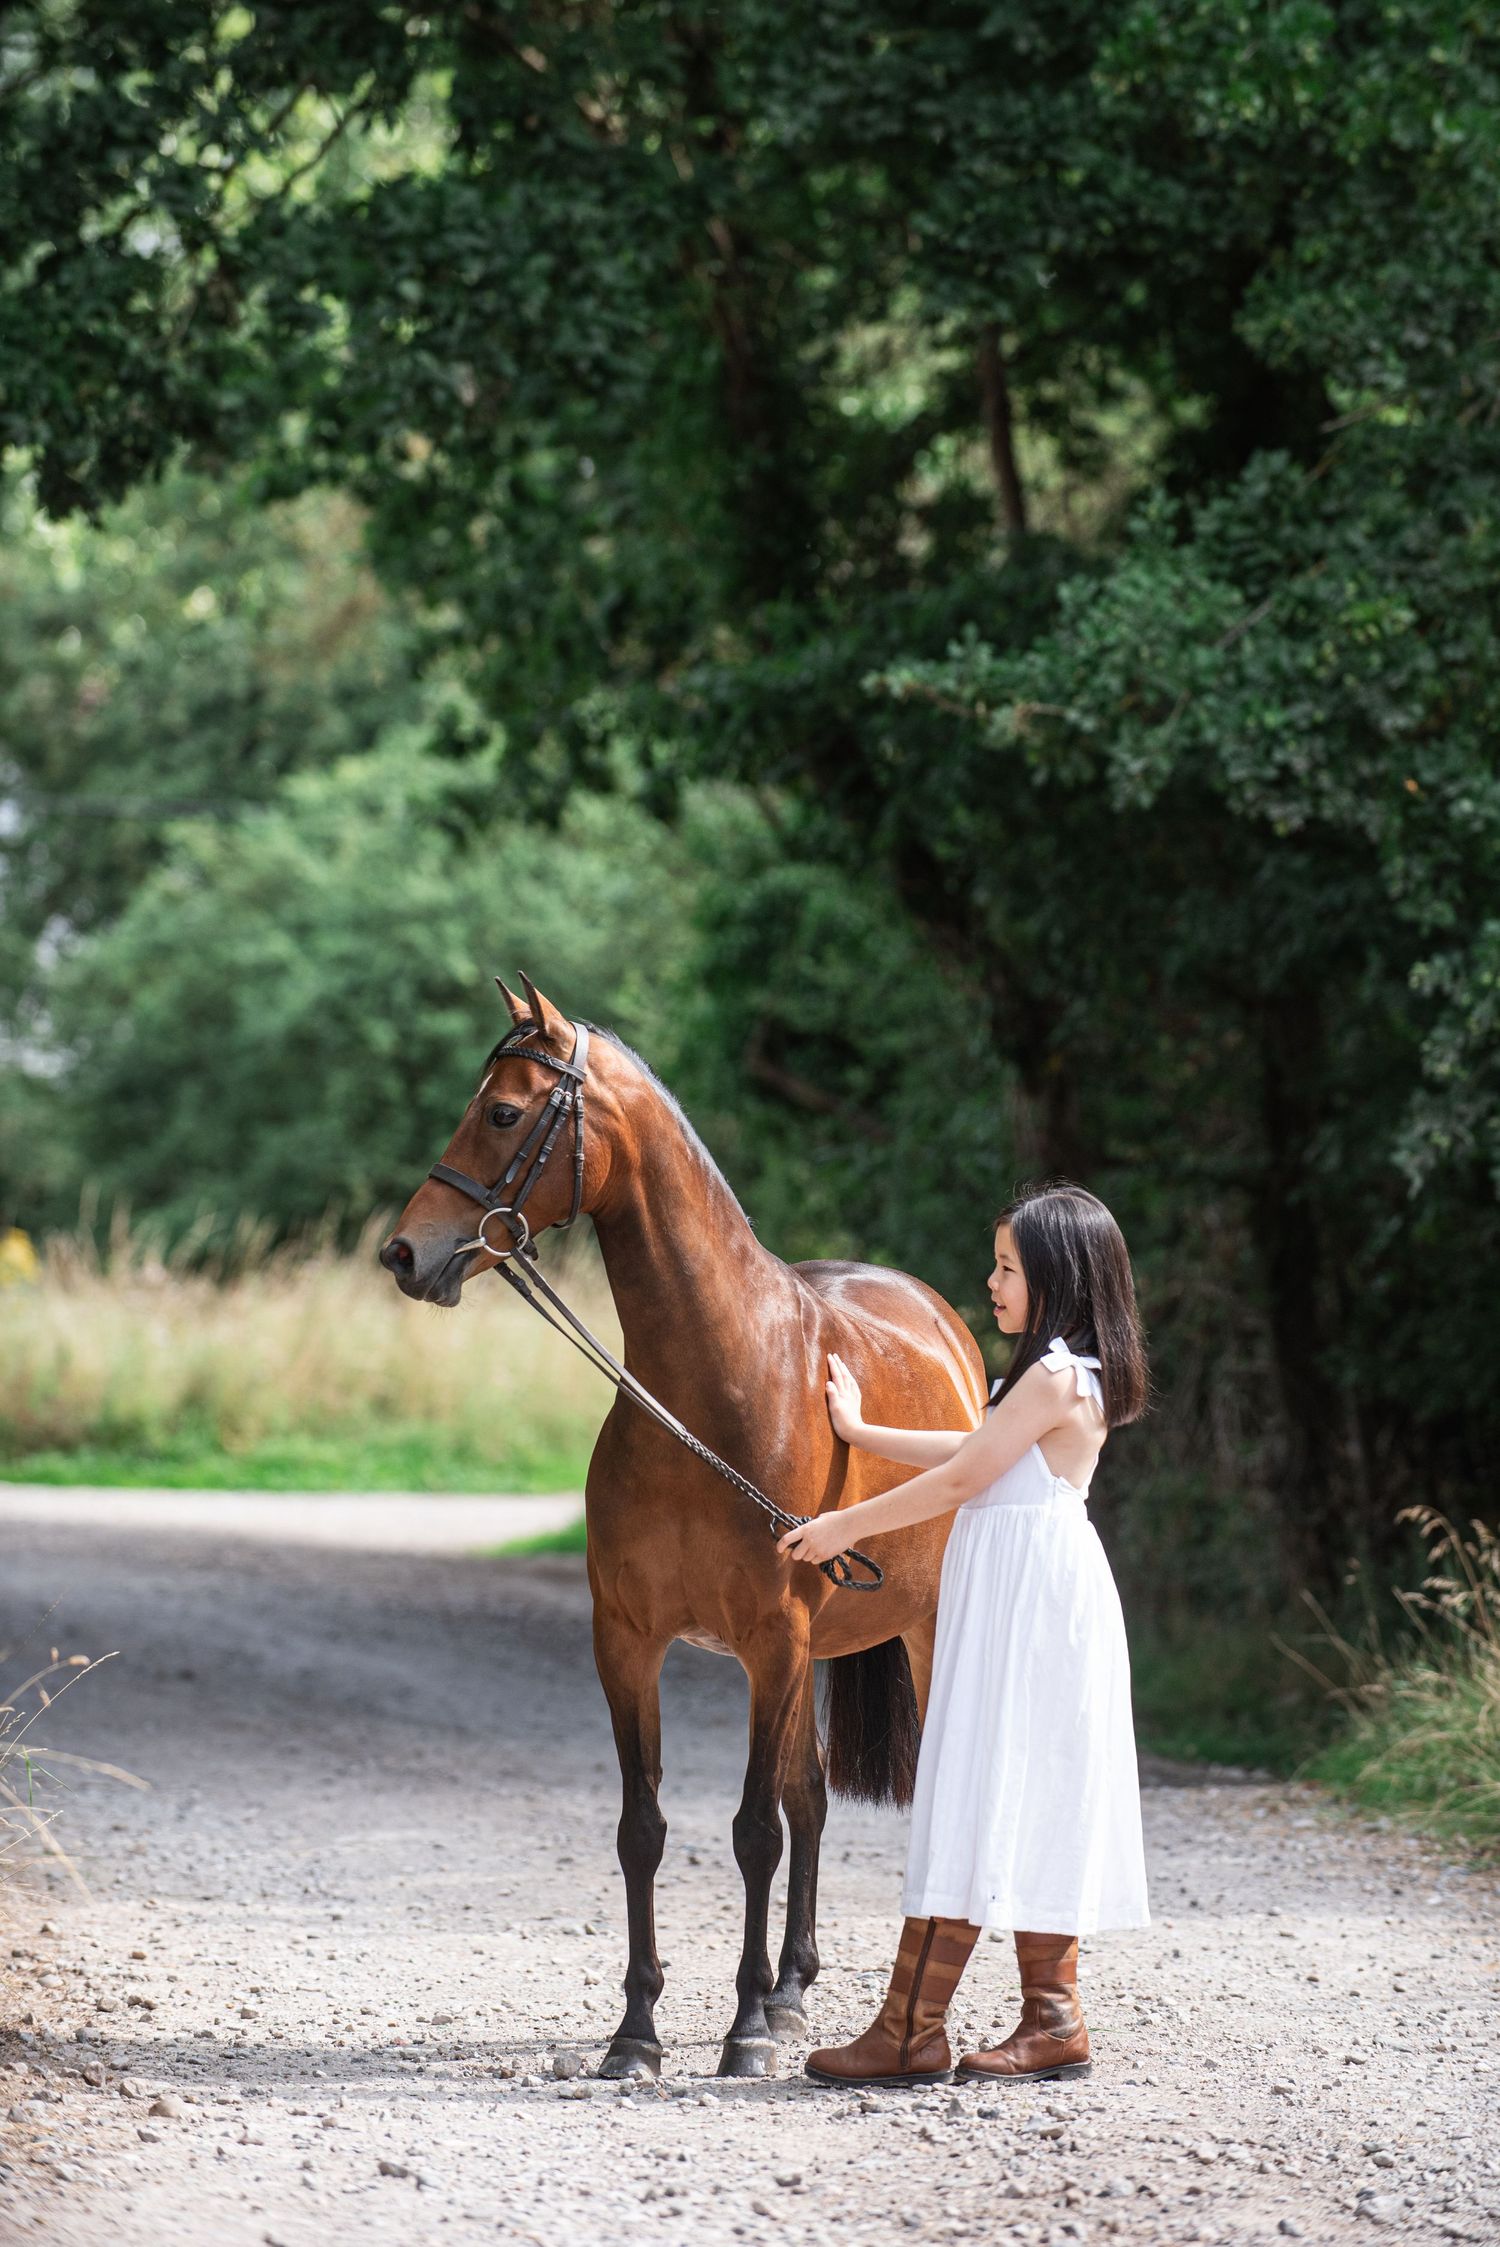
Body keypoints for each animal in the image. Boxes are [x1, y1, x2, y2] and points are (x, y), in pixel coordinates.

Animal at [380, 976, 986, 2079]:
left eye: (503, 1112)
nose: (406, 1252)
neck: (714, 1385)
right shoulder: (629, 1641)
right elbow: (646, 1828)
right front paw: (639, 2032)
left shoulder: (774, 1641)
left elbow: (751, 1832)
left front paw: (740, 2033)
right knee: (811, 1799)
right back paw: (790, 1991)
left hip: (907, 1634)